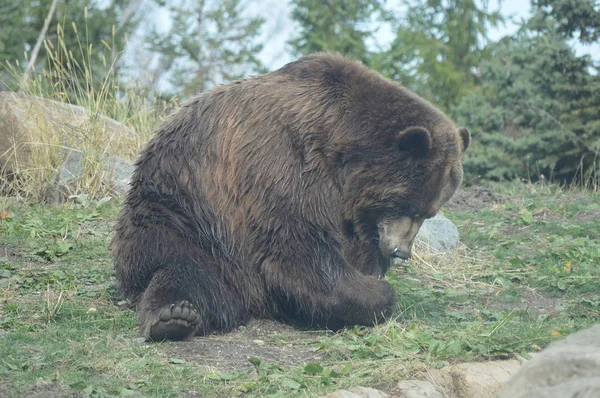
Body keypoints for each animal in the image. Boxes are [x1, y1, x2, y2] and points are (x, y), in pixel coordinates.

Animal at [111, 51, 468, 340]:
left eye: (429, 213)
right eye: (409, 206)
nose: (401, 252)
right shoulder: (283, 163)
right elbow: (297, 249)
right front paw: (377, 291)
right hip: (186, 214)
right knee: (184, 268)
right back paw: (173, 315)